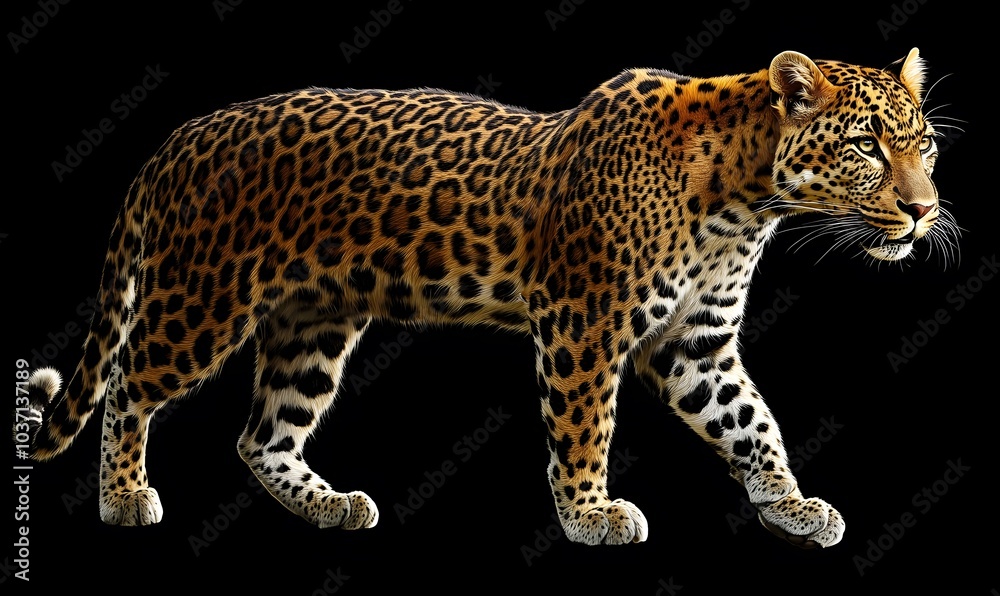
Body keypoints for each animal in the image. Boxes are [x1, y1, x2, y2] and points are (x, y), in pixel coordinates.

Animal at [16, 47, 957, 548]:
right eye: (868, 147)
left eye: (927, 147)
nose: (924, 210)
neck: (747, 199)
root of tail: (176, 137)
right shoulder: (585, 323)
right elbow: (585, 427)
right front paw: (590, 514)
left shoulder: (698, 342)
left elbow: (753, 423)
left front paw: (792, 506)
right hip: (203, 299)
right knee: (129, 383)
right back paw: (124, 497)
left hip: (312, 323)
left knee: (262, 434)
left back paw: (330, 505)